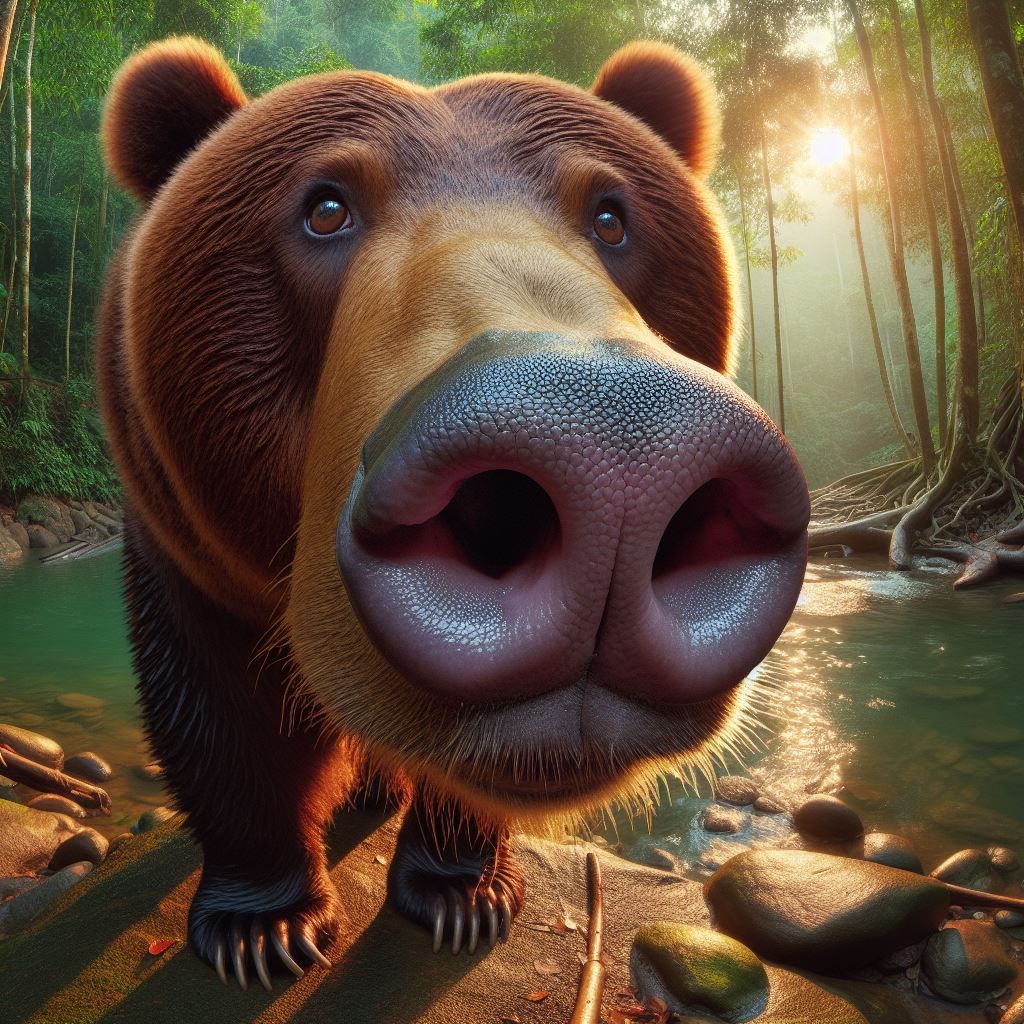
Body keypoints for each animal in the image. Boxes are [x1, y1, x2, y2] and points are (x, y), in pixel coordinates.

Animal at [98, 36, 809, 988]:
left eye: (612, 217)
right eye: (325, 208)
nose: (618, 455)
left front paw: (460, 893)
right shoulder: (189, 546)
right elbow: (219, 706)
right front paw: (263, 927)